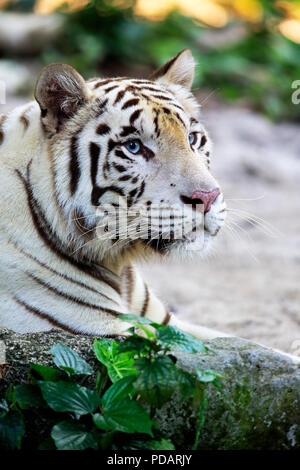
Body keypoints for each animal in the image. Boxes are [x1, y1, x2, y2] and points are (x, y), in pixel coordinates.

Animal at [0, 50, 230, 338]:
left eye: (192, 139)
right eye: (134, 147)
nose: (207, 198)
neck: (117, 261)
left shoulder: (166, 324)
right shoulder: (107, 333)